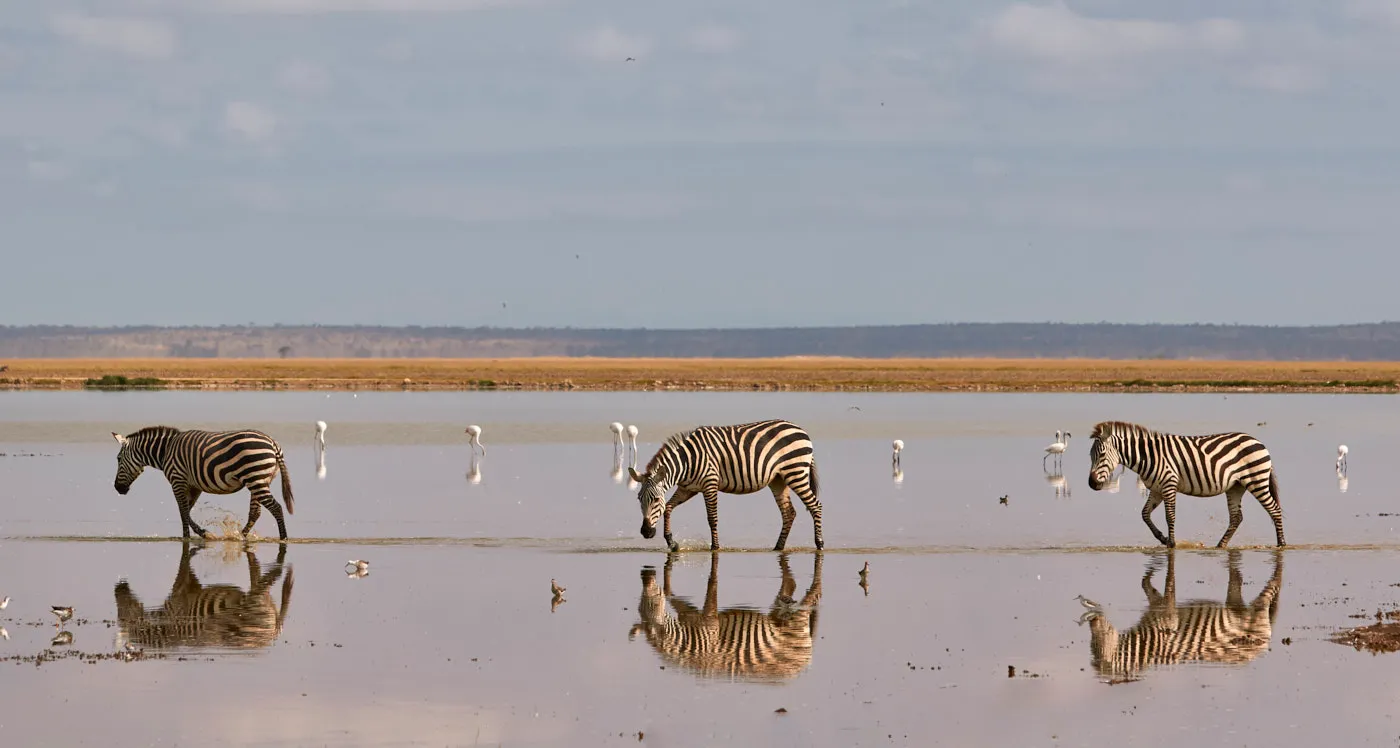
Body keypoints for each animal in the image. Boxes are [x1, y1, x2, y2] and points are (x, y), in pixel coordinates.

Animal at [112, 426, 295, 540]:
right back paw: (240, 537)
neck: (165, 451)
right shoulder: (194, 486)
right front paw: (194, 534)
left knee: (276, 507)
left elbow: (183, 511)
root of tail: (273, 443)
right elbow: (185, 511)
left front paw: (197, 534)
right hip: (260, 480)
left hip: (255, 478)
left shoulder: (177, 481)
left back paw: (283, 538)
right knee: (255, 512)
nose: (117, 488)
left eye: (118, 459)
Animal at [115, 542, 294, 651]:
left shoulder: (179, 599)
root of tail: (273, 634)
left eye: (122, 616)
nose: (118, 587)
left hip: (255, 605)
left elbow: (182, 574)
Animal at [628, 419, 822, 552]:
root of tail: (801, 429)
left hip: (795, 472)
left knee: (815, 505)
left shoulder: (709, 484)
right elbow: (668, 508)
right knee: (789, 513)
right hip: (778, 480)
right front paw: (671, 542)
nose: (646, 532)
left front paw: (715, 547)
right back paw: (778, 547)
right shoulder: (688, 489)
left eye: (655, 499)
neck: (687, 461)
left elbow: (712, 518)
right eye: (639, 499)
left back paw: (819, 544)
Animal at [628, 551, 823, 683]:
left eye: (653, 603)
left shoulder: (708, 623)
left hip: (798, 621)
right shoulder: (689, 616)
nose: (645, 576)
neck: (685, 636)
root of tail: (802, 666)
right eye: (640, 603)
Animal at [1086, 420, 1285, 548]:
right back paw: (1220, 545)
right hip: (1236, 486)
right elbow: (1145, 514)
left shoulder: (1168, 485)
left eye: (1101, 455)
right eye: (1090, 456)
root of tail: (1258, 442)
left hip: (1256, 480)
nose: (1091, 484)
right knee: (1237, 517)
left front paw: (1172, 544)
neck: (1148, 456)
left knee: (1274, 510)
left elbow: (1170, 516)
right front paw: (1162, 538)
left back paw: (1281, 544)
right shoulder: (1157, 490)